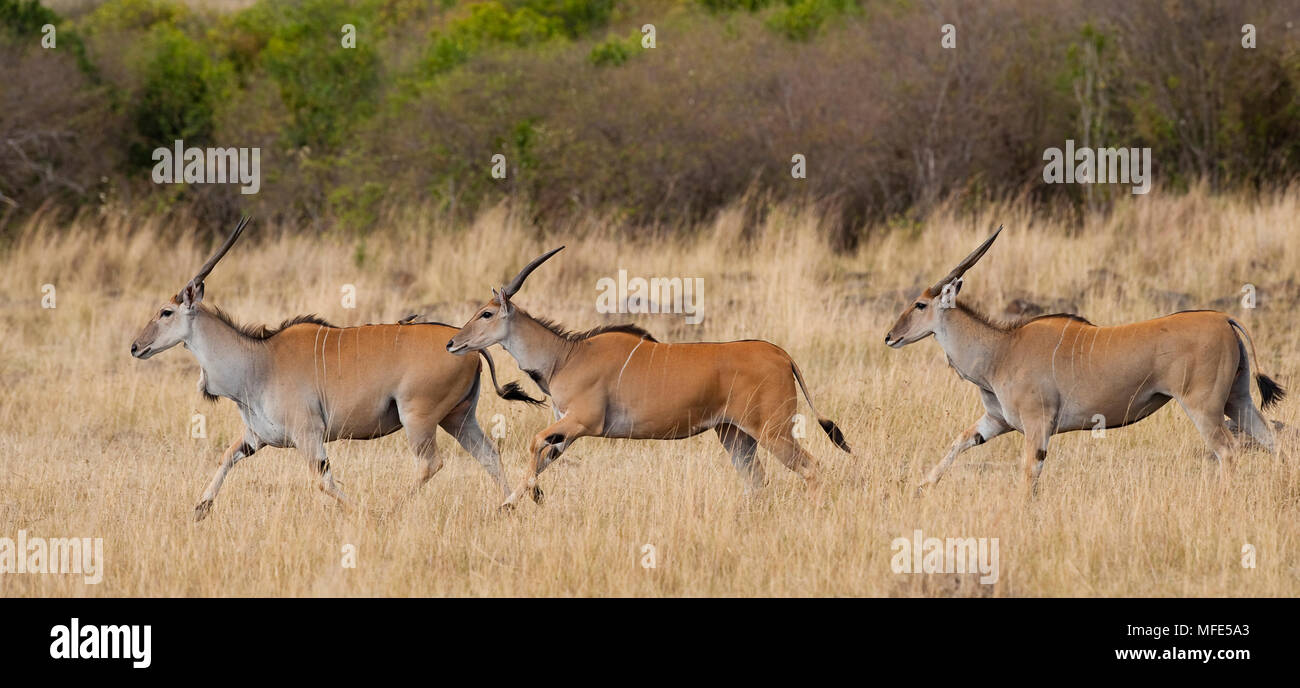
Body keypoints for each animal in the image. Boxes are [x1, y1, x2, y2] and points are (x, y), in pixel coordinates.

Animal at [130, 217, 538, 517]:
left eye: (165, 312)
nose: (136, 346)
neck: (257, 361)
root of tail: (465, 346)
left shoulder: (309, 435)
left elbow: (323, 480)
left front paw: (362, 512)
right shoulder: (255, 437)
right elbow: (226, 456)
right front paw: (201, 506)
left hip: (418, 418)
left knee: (430, 464)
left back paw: (389, 509)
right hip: (458, 419)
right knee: (489, 455)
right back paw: (510, 506)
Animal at [447, 245, 852, 504]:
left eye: (486, 313)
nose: (452, 343)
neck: (565, 356)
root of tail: (782, 355)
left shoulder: (583, 422)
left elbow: (534, 444)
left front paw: (532, 496)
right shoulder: (568, 431)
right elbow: (543, 455)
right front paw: (511, 502)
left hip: (772, 431)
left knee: (810, 467)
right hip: (735, 435)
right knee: (756, 481)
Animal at [889, 224, 1284, 494]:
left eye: (920, 305)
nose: (890, 337)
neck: (1001, 351)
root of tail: (1223, 318)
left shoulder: (1037, 426)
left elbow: (1029, 475)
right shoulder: (996, 421)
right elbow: (960, 440)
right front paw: (921, 486)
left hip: (1203, 407)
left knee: (1228, 450)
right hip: (1238, 401)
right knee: (1272, 441)